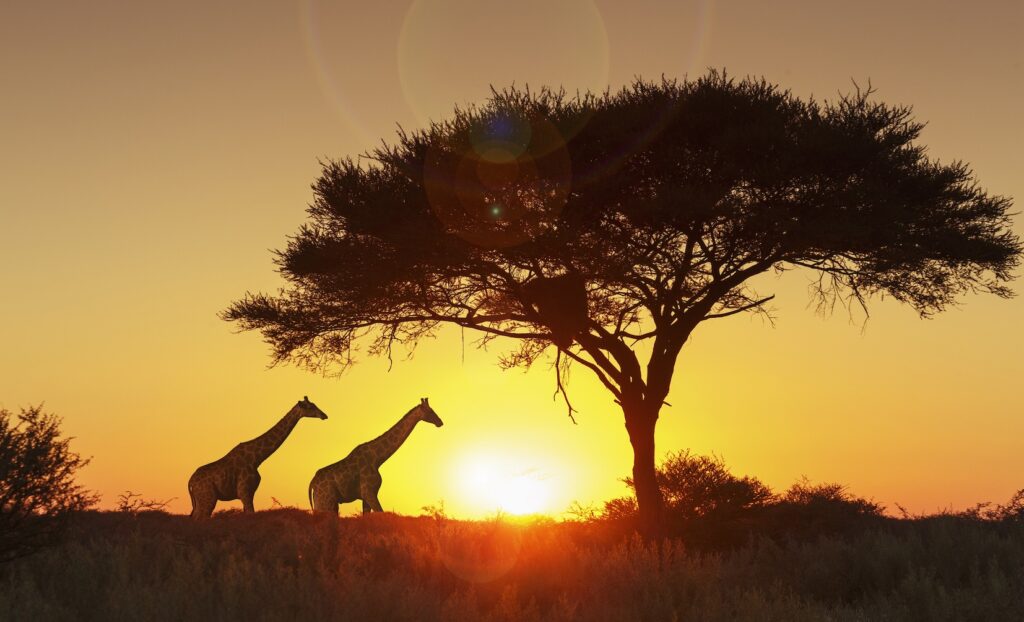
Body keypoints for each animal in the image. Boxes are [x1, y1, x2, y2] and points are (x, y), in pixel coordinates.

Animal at [186, 397, 325, 518]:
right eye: (310, 407)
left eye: (314, 404)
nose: (324, 415)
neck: (256, 459)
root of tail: (190, 482)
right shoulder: (244, 492)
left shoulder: (250, 493)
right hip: (207, 498)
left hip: (200, 500)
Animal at [309, 399, 442, 516]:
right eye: (430, 411)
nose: (440, 422)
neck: (377, 459)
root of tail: (312, 484)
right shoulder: (369, 492)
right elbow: (381, 513)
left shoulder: (366, 497)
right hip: (325, 501)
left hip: (328, 502)